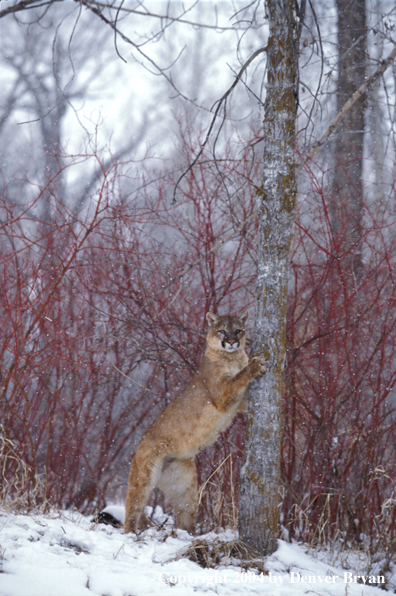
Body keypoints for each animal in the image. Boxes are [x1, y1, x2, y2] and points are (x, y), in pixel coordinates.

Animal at [125, 310, 268, 532]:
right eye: (222, 331)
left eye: (237, 330)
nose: (232, 341)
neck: (234, 356)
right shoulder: (223, 395)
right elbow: (238, 379)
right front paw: (255, 365)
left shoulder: (240, 402)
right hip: (143, 477)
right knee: (132, 509)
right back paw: (131, 533)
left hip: (186, 486)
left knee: (185, 515)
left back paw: (191, 535)